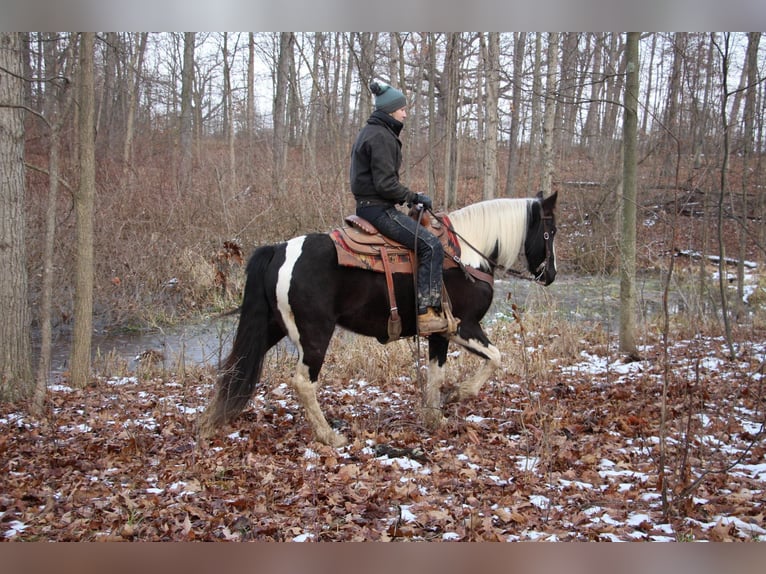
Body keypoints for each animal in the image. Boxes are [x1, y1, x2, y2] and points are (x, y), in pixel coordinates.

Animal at [198, 191, 560, 448]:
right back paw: (329, 436)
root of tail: (280, 249)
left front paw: (435, 417)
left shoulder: (440, 334)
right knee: (303, 382)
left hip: (273, 326)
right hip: (315, 333)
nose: (551, 275)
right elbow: (495, 358)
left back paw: (209, 422)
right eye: (550, 231)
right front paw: (457, 395)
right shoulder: (464, 326)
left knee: (237, 366)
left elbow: (436, 373)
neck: (466, 255)